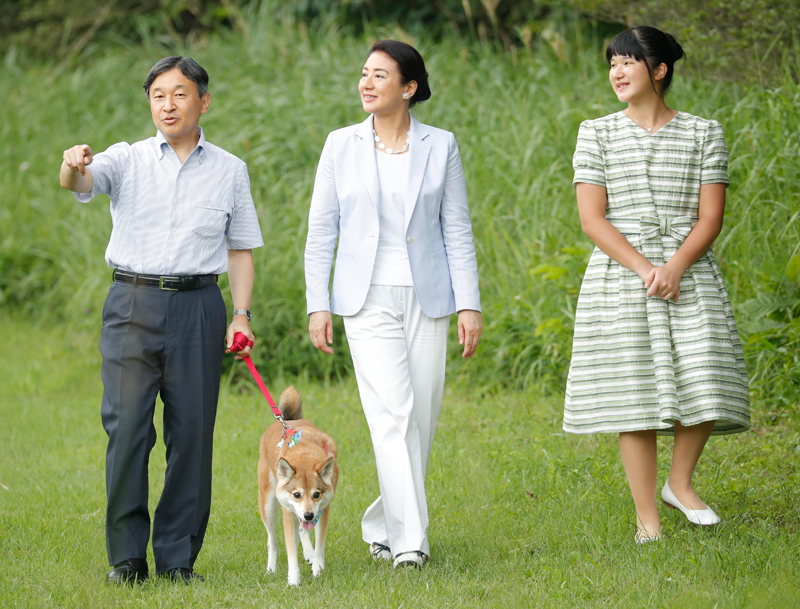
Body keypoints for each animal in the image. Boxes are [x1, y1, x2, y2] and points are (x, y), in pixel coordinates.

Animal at [258, 388, 340, 588]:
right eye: (296, 494)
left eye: (316, 494)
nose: (309, 515)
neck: (305, 453)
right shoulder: (288, 513)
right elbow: (291, 552)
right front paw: (294, 580)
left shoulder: (323, 509)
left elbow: (319, 545)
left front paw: (318, 569)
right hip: (268, 505)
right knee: (272, 541)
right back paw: (270, 570)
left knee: (303, 530)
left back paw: (309, 553)